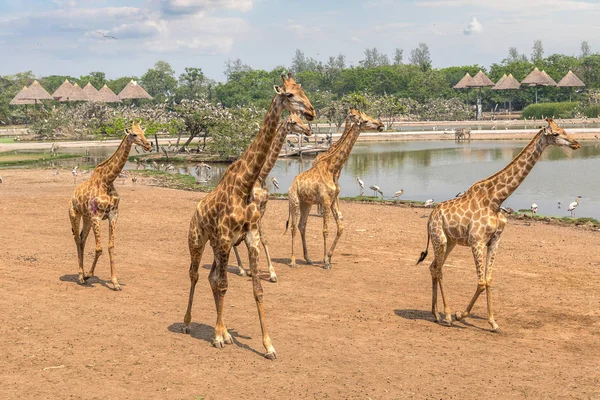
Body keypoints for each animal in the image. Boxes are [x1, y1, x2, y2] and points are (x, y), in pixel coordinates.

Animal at [68, 120, 152, 290]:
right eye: (134, 134)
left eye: (144, 132)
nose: (148, 145)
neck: (107, 181)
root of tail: (72, 196)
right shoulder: (97, 216)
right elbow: (99, 248)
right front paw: (88, 275)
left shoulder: (113, 214)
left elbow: (110, 246)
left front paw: (115, 282)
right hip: (75, 214)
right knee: (77, 239)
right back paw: (80, 276)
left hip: (86, 219)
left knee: (82, 239)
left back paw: (82, 274)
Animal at [232, 111, 312, 282]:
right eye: (293, 122)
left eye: (301, 119)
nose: (308, 131)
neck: (262, 175)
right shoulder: (254, 208)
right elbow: (258, 239)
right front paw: (269, 273)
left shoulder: (263, 209)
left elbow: (261, 239)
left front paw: (265, 272)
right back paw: (241, 269)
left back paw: (245, 269)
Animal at [288, 109, 384, 270]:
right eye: (364, 120)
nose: (381, 125)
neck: (332, 168)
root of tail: (292, 183)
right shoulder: (326, 200)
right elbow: (325, 231)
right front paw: (326, 262)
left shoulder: (333, 200)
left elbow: (341, 228)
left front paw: (329, 257)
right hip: (294, 201)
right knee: (294, 227)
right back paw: (293, 261)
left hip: (306, 203)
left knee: (302, 225)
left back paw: (308, 259)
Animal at [414, 118, 580, 332]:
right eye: (556, 133)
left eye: (564, 129)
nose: (576, 143)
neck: (496, 199)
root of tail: (430, 217)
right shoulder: (476, 241)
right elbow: (481, 282)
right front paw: (460, 315)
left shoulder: (494, 240)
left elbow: (489, 280)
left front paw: (493, 322)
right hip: (439, 238)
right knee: (439, 270)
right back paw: (448, 315)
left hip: (450, 241)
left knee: (433, 267)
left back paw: (436, 314)